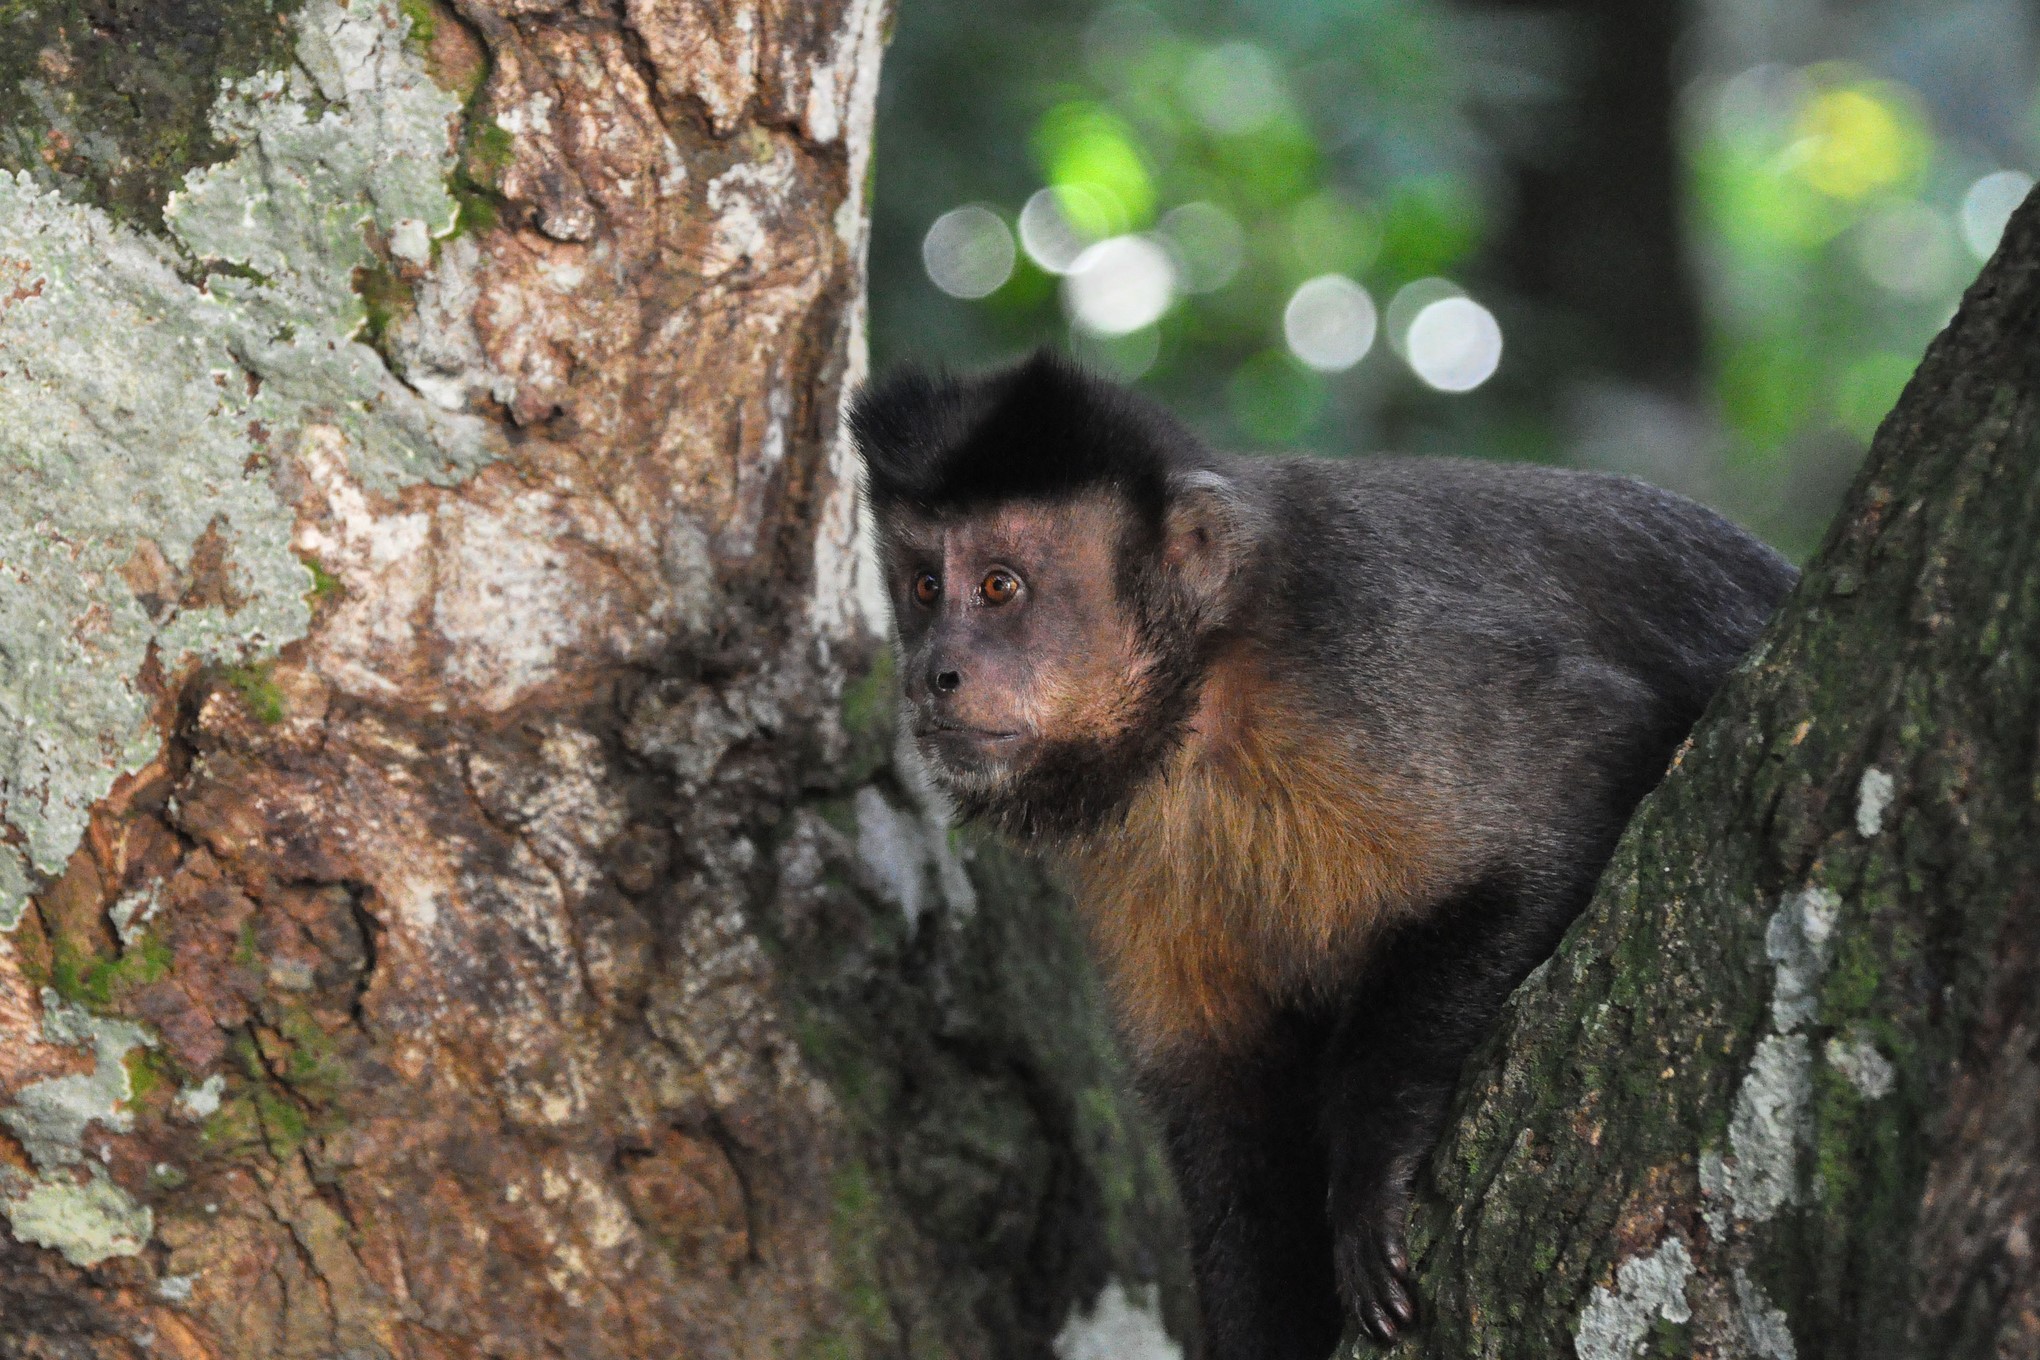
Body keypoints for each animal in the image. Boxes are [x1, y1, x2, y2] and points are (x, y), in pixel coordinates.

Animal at [844, 354, 1803, 1360]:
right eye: (923, 589)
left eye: (998, 587)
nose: (931, 673)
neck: (1200, 702)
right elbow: (1225, 1102)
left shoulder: (1363, 659)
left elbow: (1585, 776)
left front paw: (1376, 1162)